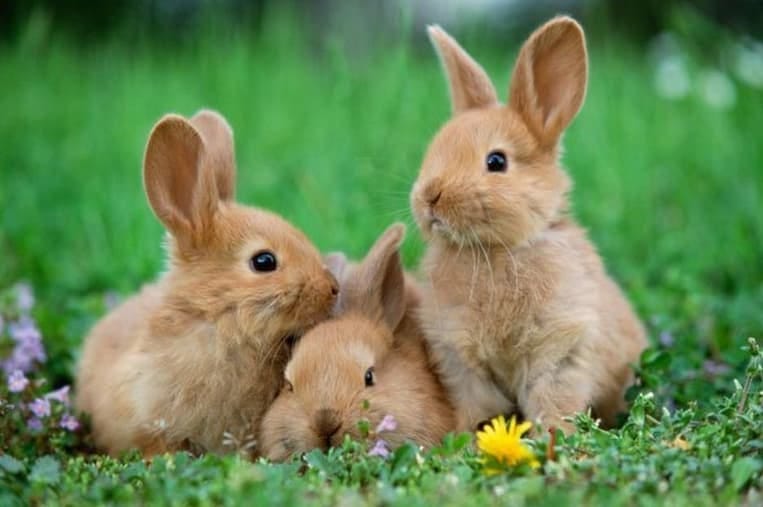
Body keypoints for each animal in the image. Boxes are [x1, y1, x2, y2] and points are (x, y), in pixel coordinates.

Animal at [409, 17, 648, 434]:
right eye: (434, 151)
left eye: (496, 161)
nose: (429, 197)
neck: (495, 250)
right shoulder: (461, 361)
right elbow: (478, 406)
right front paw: (469, 437)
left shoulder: (561, 348)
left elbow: (552, 400)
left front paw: (554, 438)